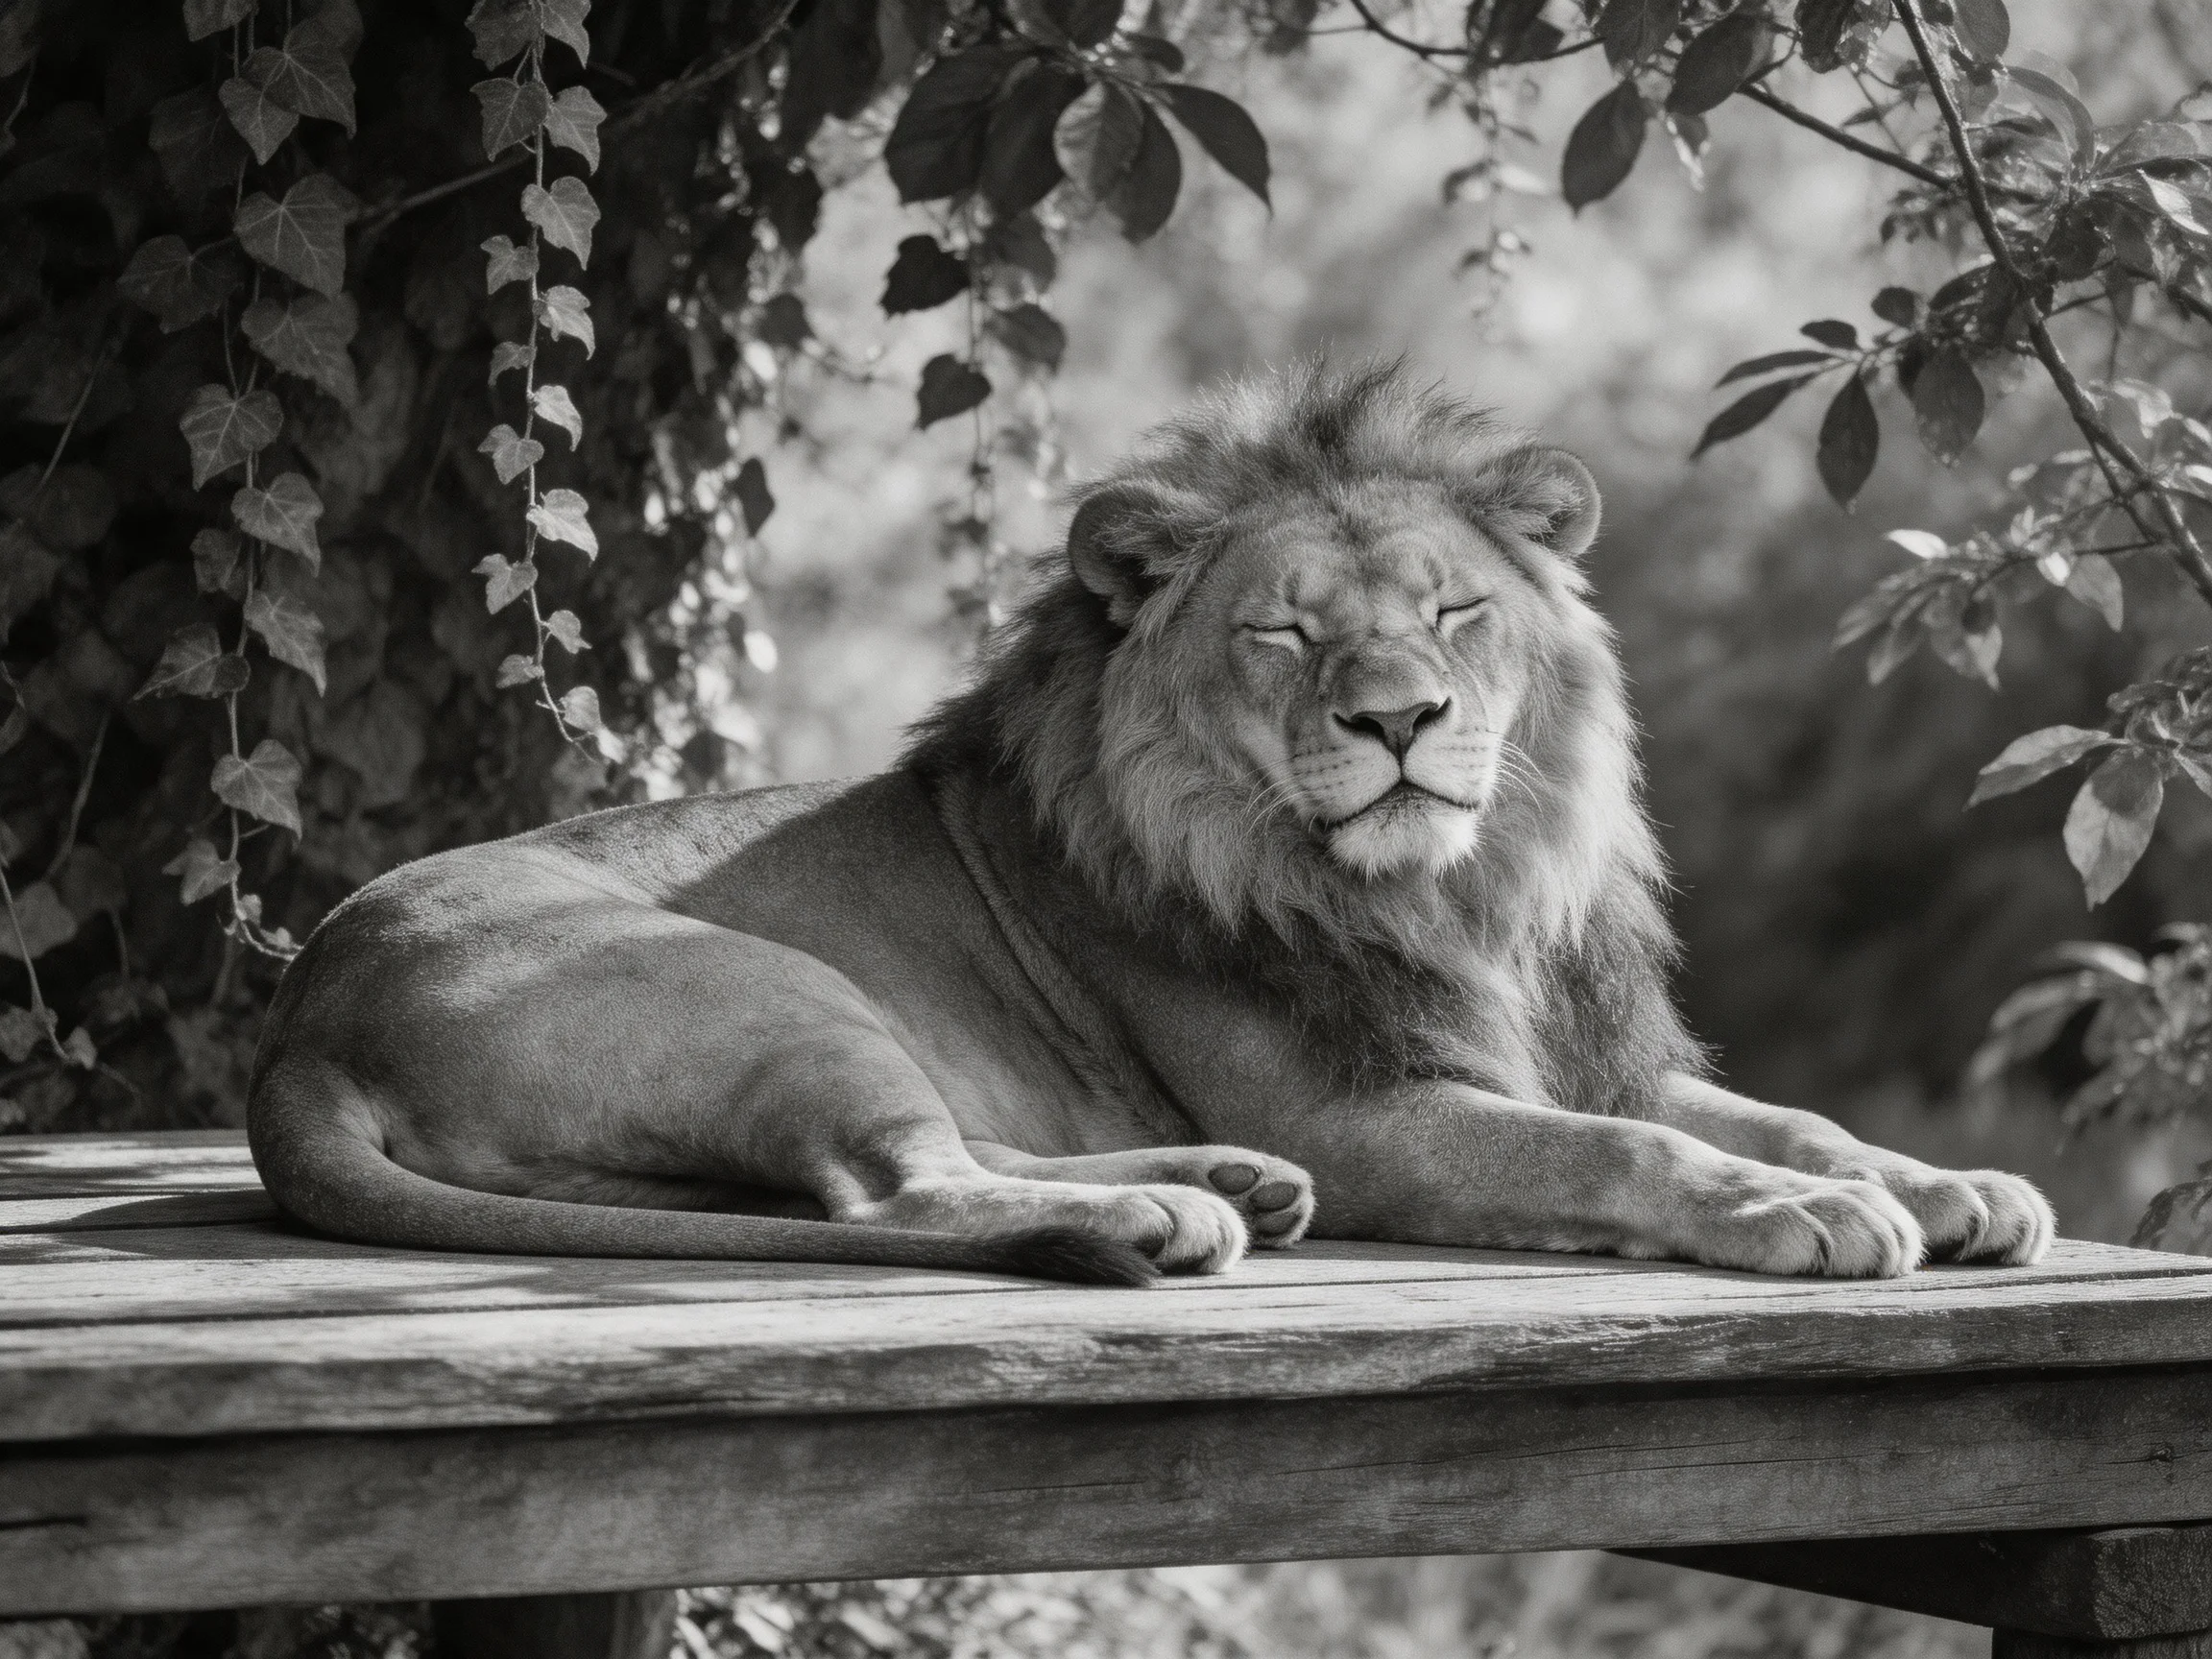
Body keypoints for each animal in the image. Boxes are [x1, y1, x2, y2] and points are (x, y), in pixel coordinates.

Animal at [248, 361, 2055, 1283]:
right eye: (1285, 633)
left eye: (1454, 610)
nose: (1396, 720)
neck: (1452, 895)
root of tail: (300, 1028)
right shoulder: (1372, 1112)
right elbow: (1619, 1148)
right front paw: (1795, 1214)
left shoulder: (1577, 1046)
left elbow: (1783, 1112)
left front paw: (1950, 1180)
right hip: (772, 989)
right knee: (892, 1193)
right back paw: (1165, 1215)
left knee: (893, 1174)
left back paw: (1223, 1182)